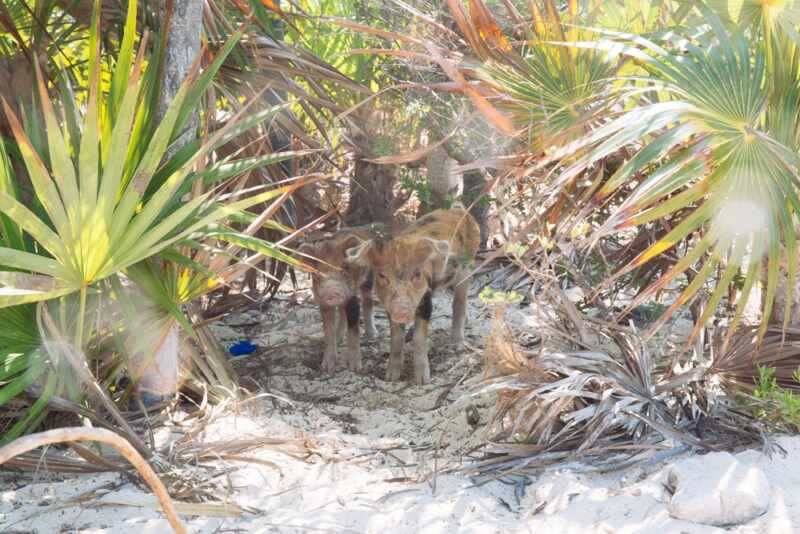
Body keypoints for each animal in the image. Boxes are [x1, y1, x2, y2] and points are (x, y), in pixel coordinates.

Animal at [296, 225, 384, 372]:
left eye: (344, 271)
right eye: (317, 276)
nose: (332, 291)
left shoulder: (352, 298)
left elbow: (354, 331)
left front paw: (355, 368)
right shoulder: (322, 302)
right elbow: (328, 331)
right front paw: (326, 368)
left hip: (369, 278)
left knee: (368, 301)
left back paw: (372, 335)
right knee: (342, 312)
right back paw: (339, 338)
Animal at [346, 208, 482, 386]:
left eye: (417, 274)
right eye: (382, 275)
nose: (402, 308)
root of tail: (459, 209)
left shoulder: (426, 298)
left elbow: (419, 337)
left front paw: (423, 381)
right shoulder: (388, 306)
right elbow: (396, 338)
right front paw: (390, 378)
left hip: (468, 265)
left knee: (460, 301)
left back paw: (457, 344)